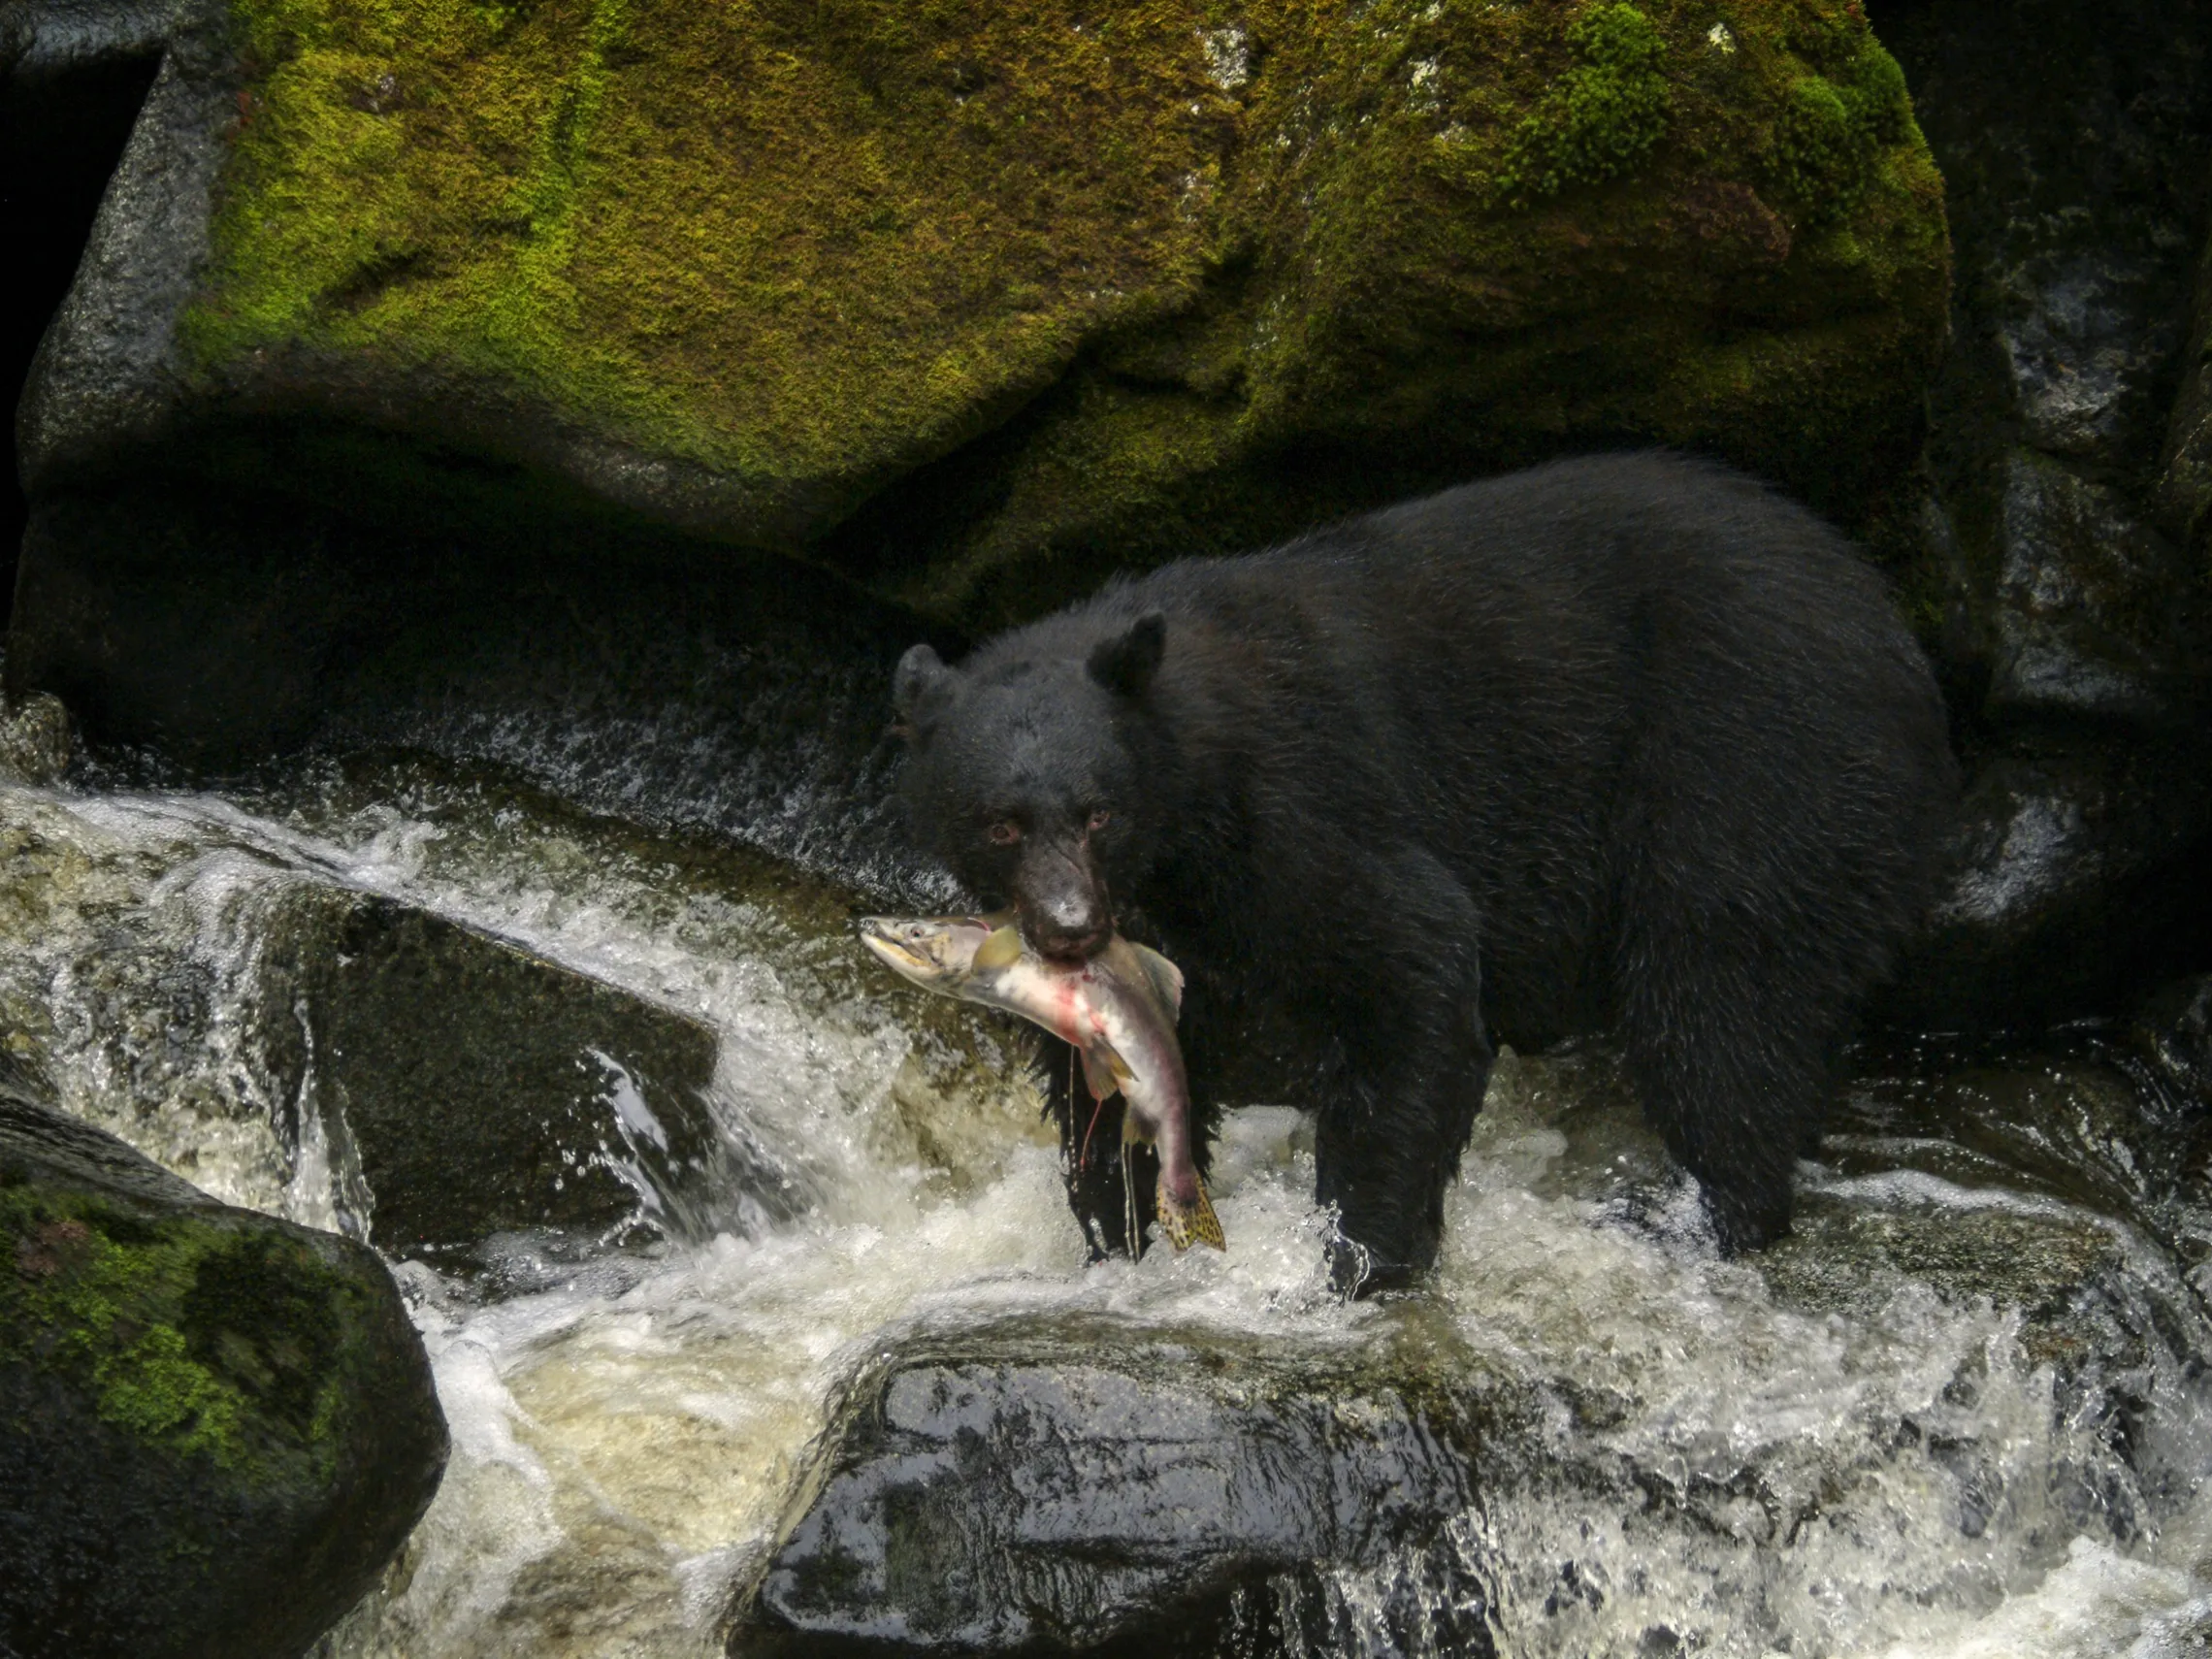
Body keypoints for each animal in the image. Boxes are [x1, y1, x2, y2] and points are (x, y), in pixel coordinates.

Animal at [892, 453, 1959, 1289]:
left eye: (1099, 811)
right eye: (1000, 824)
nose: (1070, 927)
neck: (1185, 789)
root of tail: (1902, 648)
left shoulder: (1296, 811)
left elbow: (1413, 966)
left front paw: (1360, 1262)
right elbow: (1109, 1078)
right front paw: (1121, 1240)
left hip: (1755, 771)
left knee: (1718, 993)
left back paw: (1690, 1217)